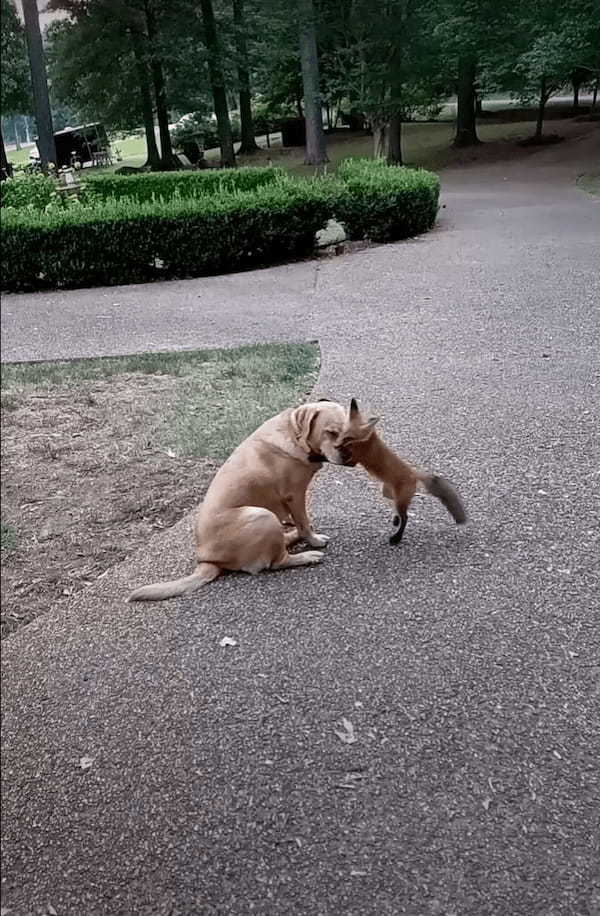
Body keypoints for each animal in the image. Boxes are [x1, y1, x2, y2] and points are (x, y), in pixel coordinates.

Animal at [129, 400, 350, 600]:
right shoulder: (294, 495)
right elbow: (304, 523)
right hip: (262, 515)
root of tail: (207, 561)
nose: (347, 455)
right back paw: (306, 556)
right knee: (278, 561)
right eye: (330, 432)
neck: (295, 434)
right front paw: (313, 540)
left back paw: (292, 535)